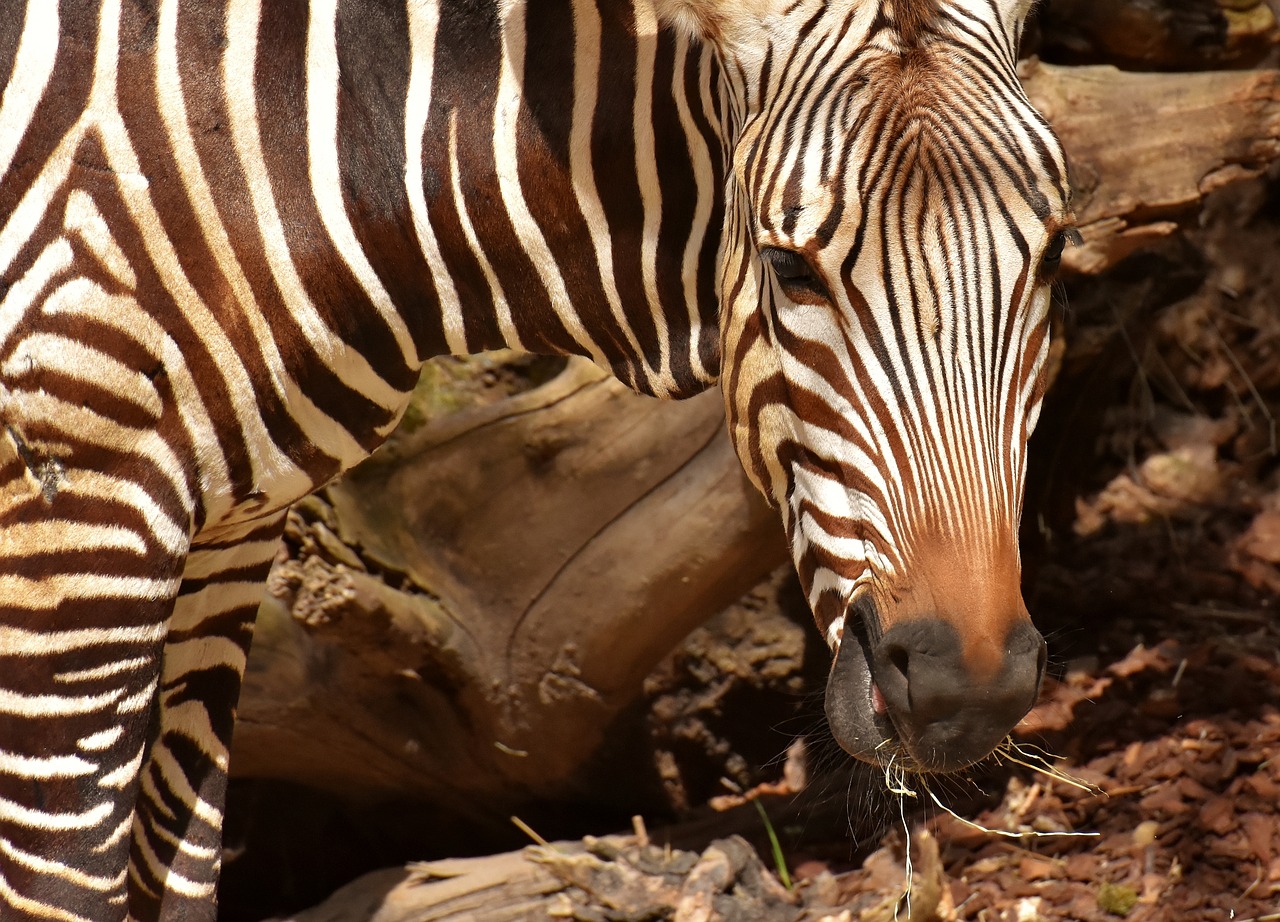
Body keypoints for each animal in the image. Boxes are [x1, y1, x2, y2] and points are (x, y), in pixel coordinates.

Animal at [2, 0, 1070, 916]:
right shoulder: (77, 528)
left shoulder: (232, 537)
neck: (289, 152)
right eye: (788, 267)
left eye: (1055, 254)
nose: (966, 687)